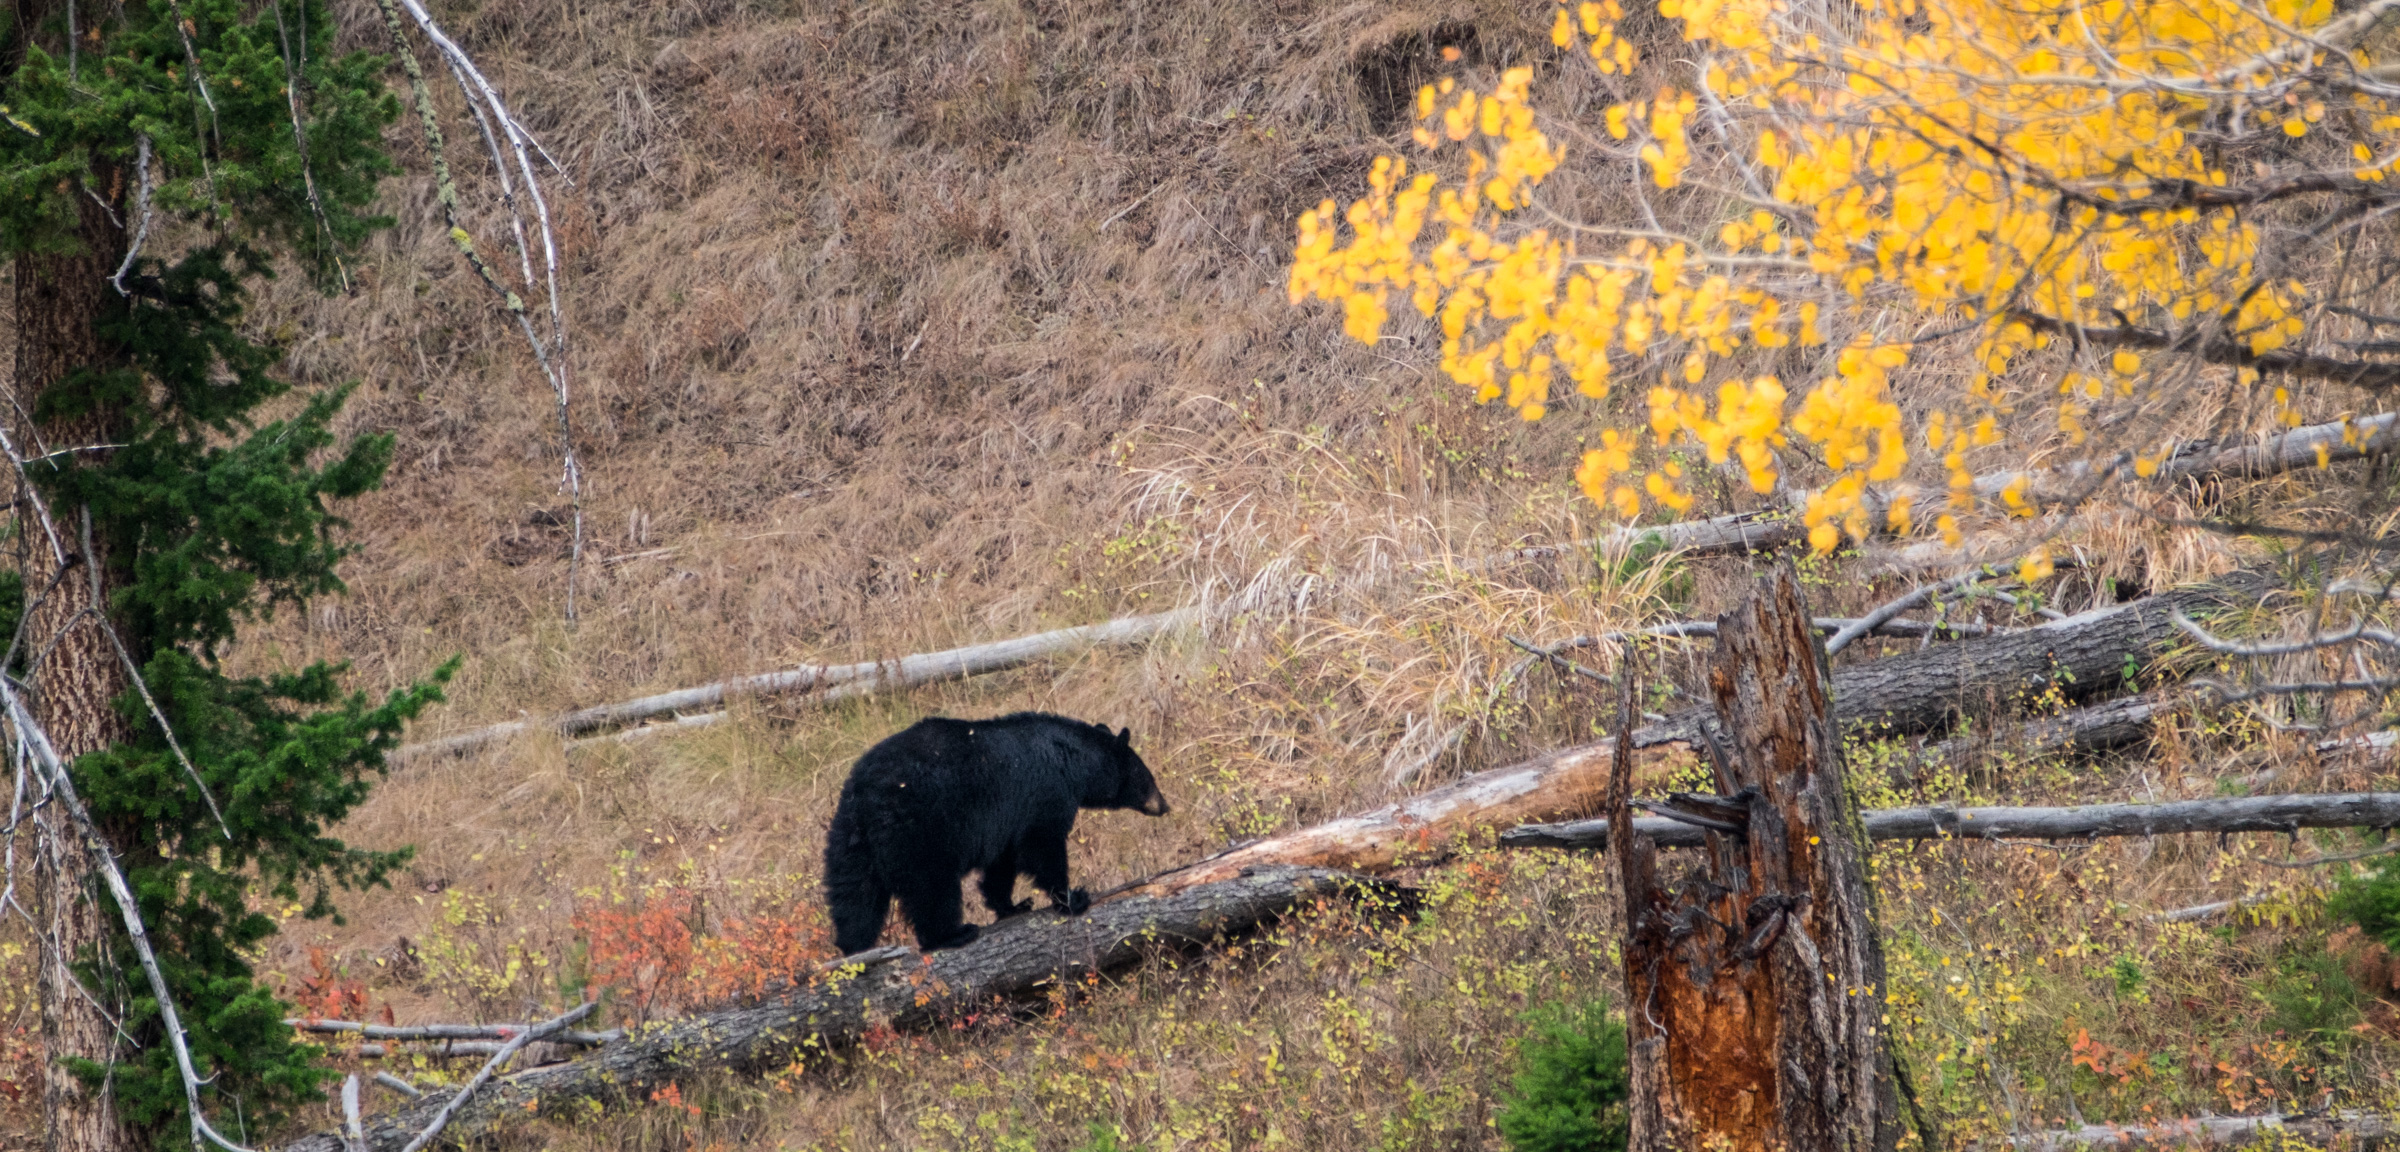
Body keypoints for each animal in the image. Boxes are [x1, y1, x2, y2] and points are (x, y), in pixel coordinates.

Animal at [820, 710, 1166, 955]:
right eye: (1147, 777)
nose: (1164, 806)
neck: (1070, 759)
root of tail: (865, 794)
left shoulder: (1007, 820)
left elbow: (1003, 862)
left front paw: (1011, 906)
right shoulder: (1043, 792)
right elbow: (1042, 846)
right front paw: (1072, 898)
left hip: (849, 838)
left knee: (854, 895)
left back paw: (855, 949)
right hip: (919, 828)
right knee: (931, 887)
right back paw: (952, 934)